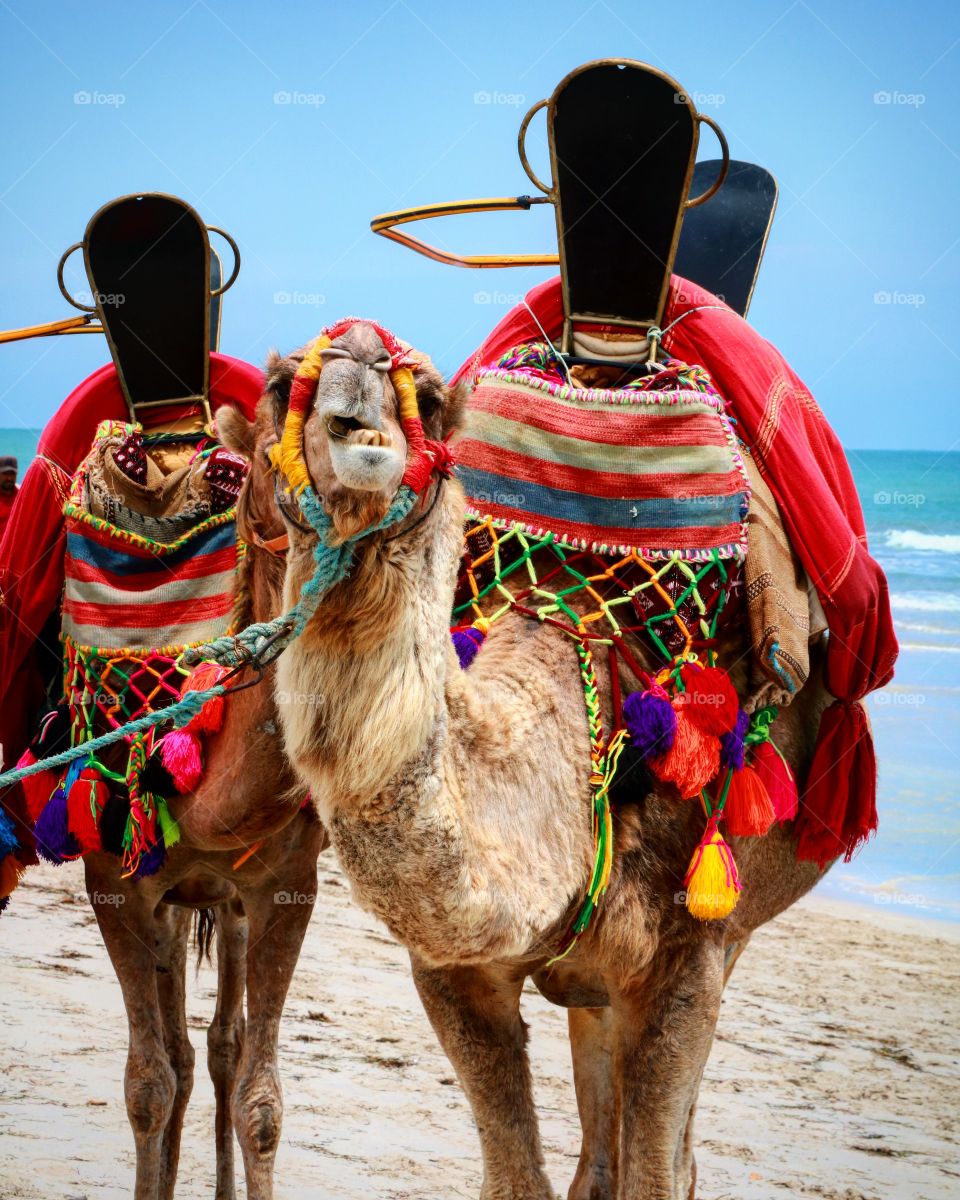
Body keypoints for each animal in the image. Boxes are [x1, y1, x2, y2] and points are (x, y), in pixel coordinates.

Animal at [79, 404, 325, 1200]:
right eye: (272, 464)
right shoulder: (116, 882)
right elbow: (149, 1084)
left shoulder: (285, 888)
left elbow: (259, 1098)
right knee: (181, 1054)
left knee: (220, 1045)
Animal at [252, 322, 831, 1200]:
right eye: (285, 387)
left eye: (425, 395)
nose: (356, 404)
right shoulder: (450, 967)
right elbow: (515, 1175)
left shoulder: (693, 956)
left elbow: (657, 1173)